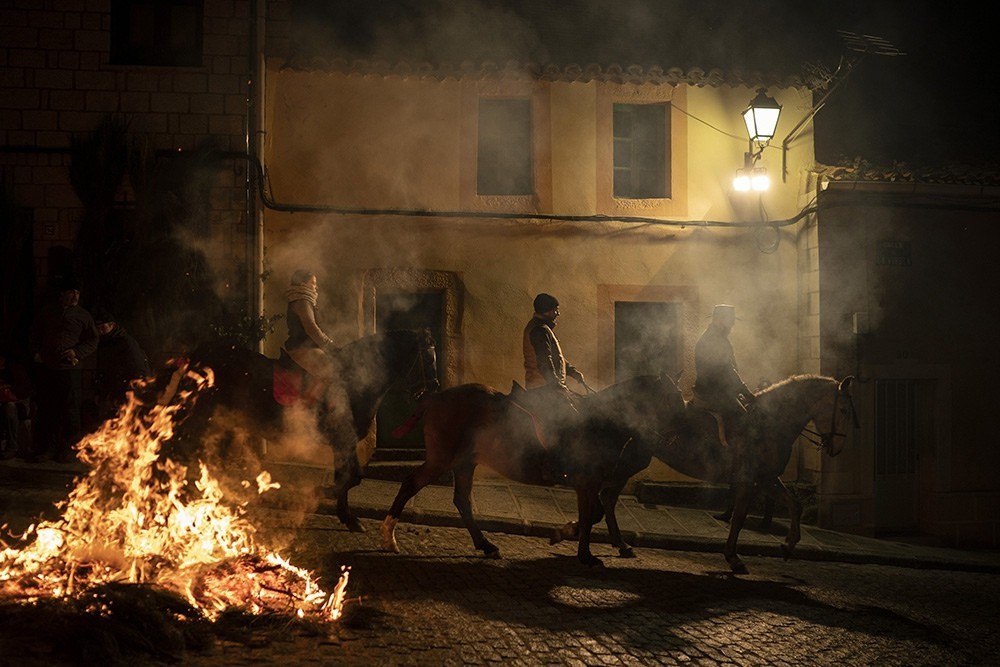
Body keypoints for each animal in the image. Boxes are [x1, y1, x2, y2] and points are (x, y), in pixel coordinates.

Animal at [150, 328, 440, 532]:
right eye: (427, 358)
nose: (435, 388)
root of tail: (201, 353)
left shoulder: (343, 443)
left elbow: (349, 477)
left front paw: (346, 517)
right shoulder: (342, 440)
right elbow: (351, 477)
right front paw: (328, 499)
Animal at [376, 374, 688, 568]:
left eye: (681, 398)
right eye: (670, 398)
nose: (681, 436)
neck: (606, 421)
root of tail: (434, 398)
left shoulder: (593, 482)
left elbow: (596, 513)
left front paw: (567, 533)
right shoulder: (588, 482)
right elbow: (591, 516)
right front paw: (585, 555)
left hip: (465, 463)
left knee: (462, 501)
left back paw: (486, 545)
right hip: (442, 460)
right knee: (410, 484)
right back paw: (389, 537)